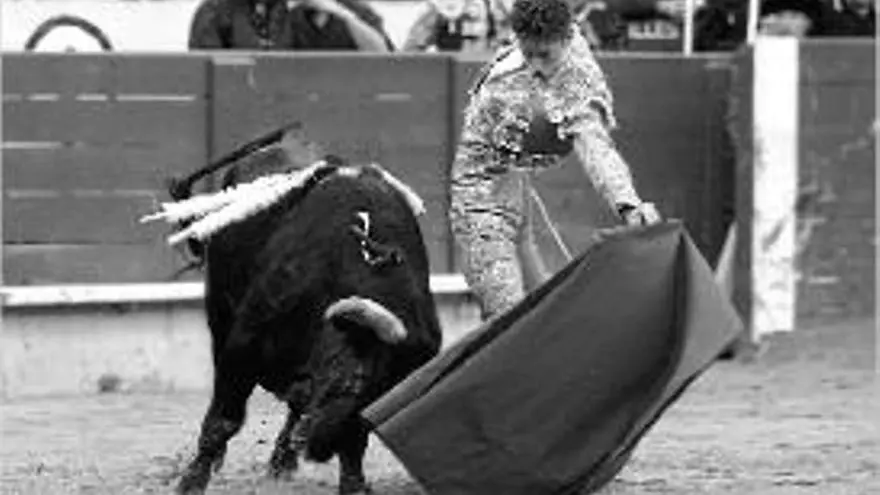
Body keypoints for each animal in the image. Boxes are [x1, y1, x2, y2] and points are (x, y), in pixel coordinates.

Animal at [147, 157, 443, 494]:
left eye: (383, 405)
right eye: (354, 381)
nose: (317, 448)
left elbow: (352, 444)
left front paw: (353, 484)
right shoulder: (243, 346)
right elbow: (224, 420)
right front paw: (191, 481)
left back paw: (283, 458)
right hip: (219, 309)